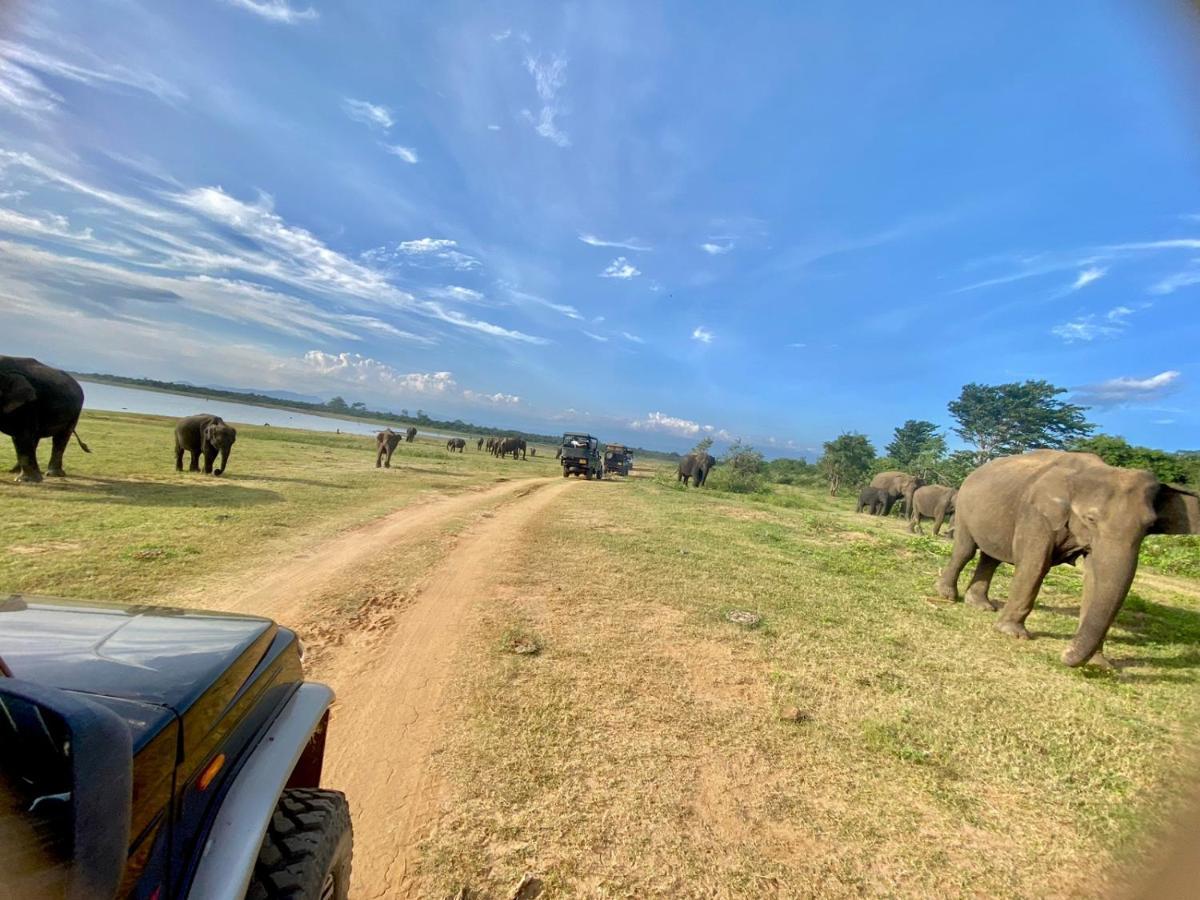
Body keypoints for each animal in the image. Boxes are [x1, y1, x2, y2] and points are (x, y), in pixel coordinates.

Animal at [0, 357, 90, 487]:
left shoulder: (28, 405)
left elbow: (22, 435)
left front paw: (27, 481)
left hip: (75, 413)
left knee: (61, 438)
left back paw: (53, 474)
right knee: (35, 438)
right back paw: (14, 471)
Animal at [936, 451, 1200, 672]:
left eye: (1149, 526)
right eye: (1091, 519)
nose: (1064, 654)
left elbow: (1093, 580)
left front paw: (1099, 663)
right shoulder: (1036, 514)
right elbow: (1034, 564)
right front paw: (1013, 633)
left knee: (990, 558)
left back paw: (980, 606)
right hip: (965, 508)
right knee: (966, 550)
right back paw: (947, 596)